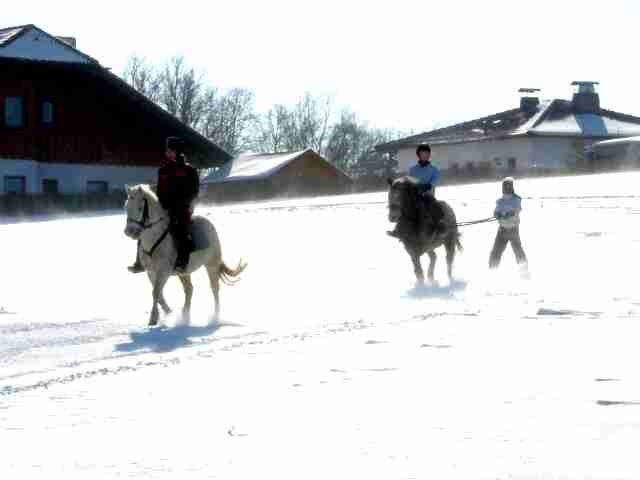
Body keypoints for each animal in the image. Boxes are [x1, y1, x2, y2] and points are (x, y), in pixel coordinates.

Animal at [124, 185, 246, 326]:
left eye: (139, 207)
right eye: (126, 207)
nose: (129, 232)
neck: (154, 238)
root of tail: (209, 225)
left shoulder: (163, 272)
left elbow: (155, 292)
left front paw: (153, 319)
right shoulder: (151, 272)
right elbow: (159, 294)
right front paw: (168, 312)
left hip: (211, 265)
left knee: (214, 288)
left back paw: (215, 316)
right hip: (183, 272)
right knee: (189, 290)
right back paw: (185, 316)